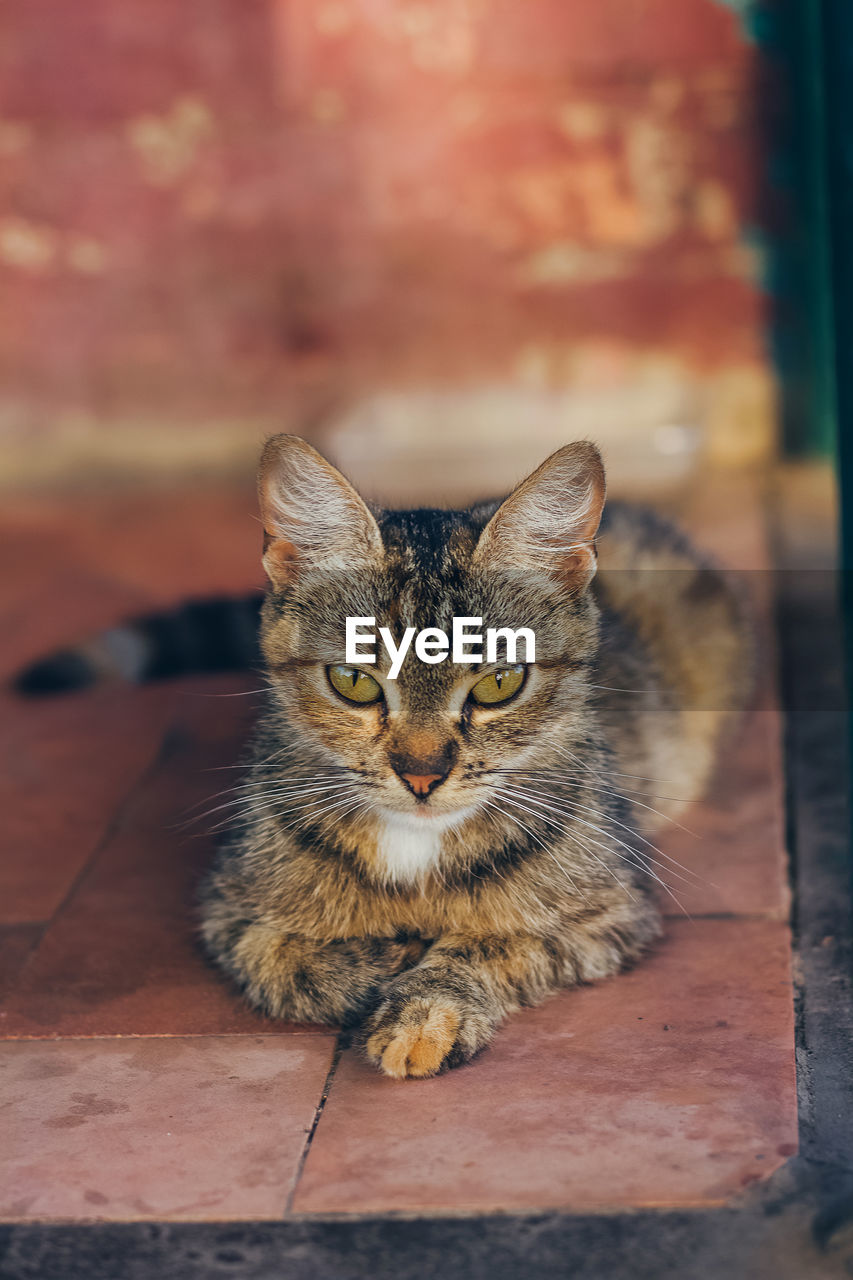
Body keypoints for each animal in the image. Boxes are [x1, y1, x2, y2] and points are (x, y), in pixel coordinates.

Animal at [194, 435, 742, 1075]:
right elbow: (279, 960)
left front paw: (424, 1010)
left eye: (499, 682)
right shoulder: (226, 909)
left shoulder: (613, 914)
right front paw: (377, 965)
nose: (422, 774)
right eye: (353, 681)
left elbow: (482, 945)